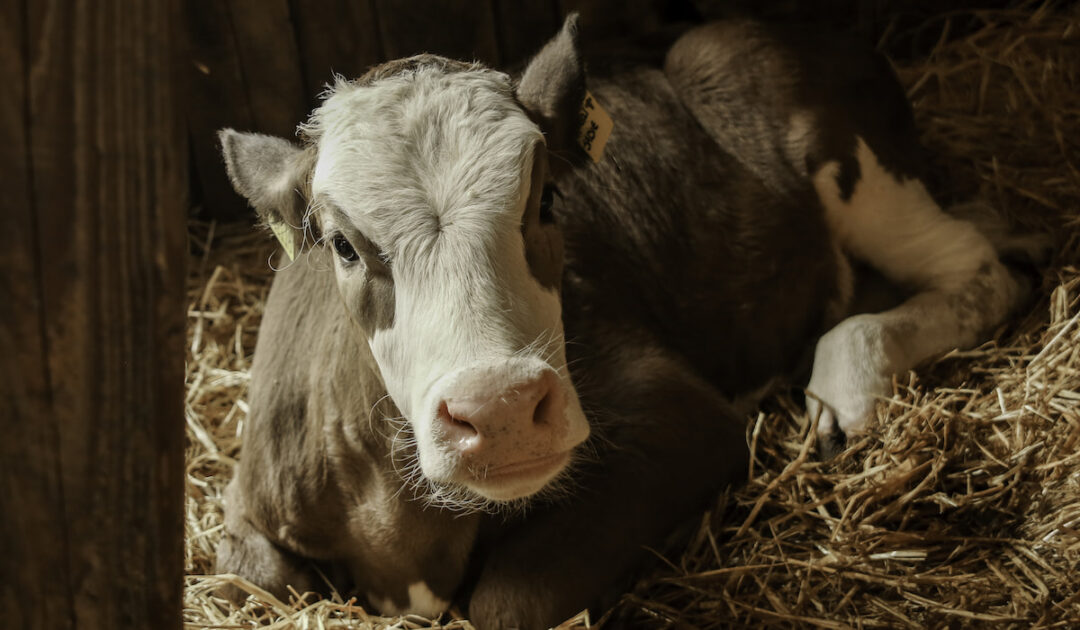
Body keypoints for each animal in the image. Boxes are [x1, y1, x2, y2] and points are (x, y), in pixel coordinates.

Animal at [215, 16, 1030, 629]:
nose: (500, 410)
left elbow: (509, 600)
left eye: (547, 200)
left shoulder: (679, 412)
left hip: (858, 172)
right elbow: (250, 575)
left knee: (978, 268)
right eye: (343, 244)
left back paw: (848, 377)